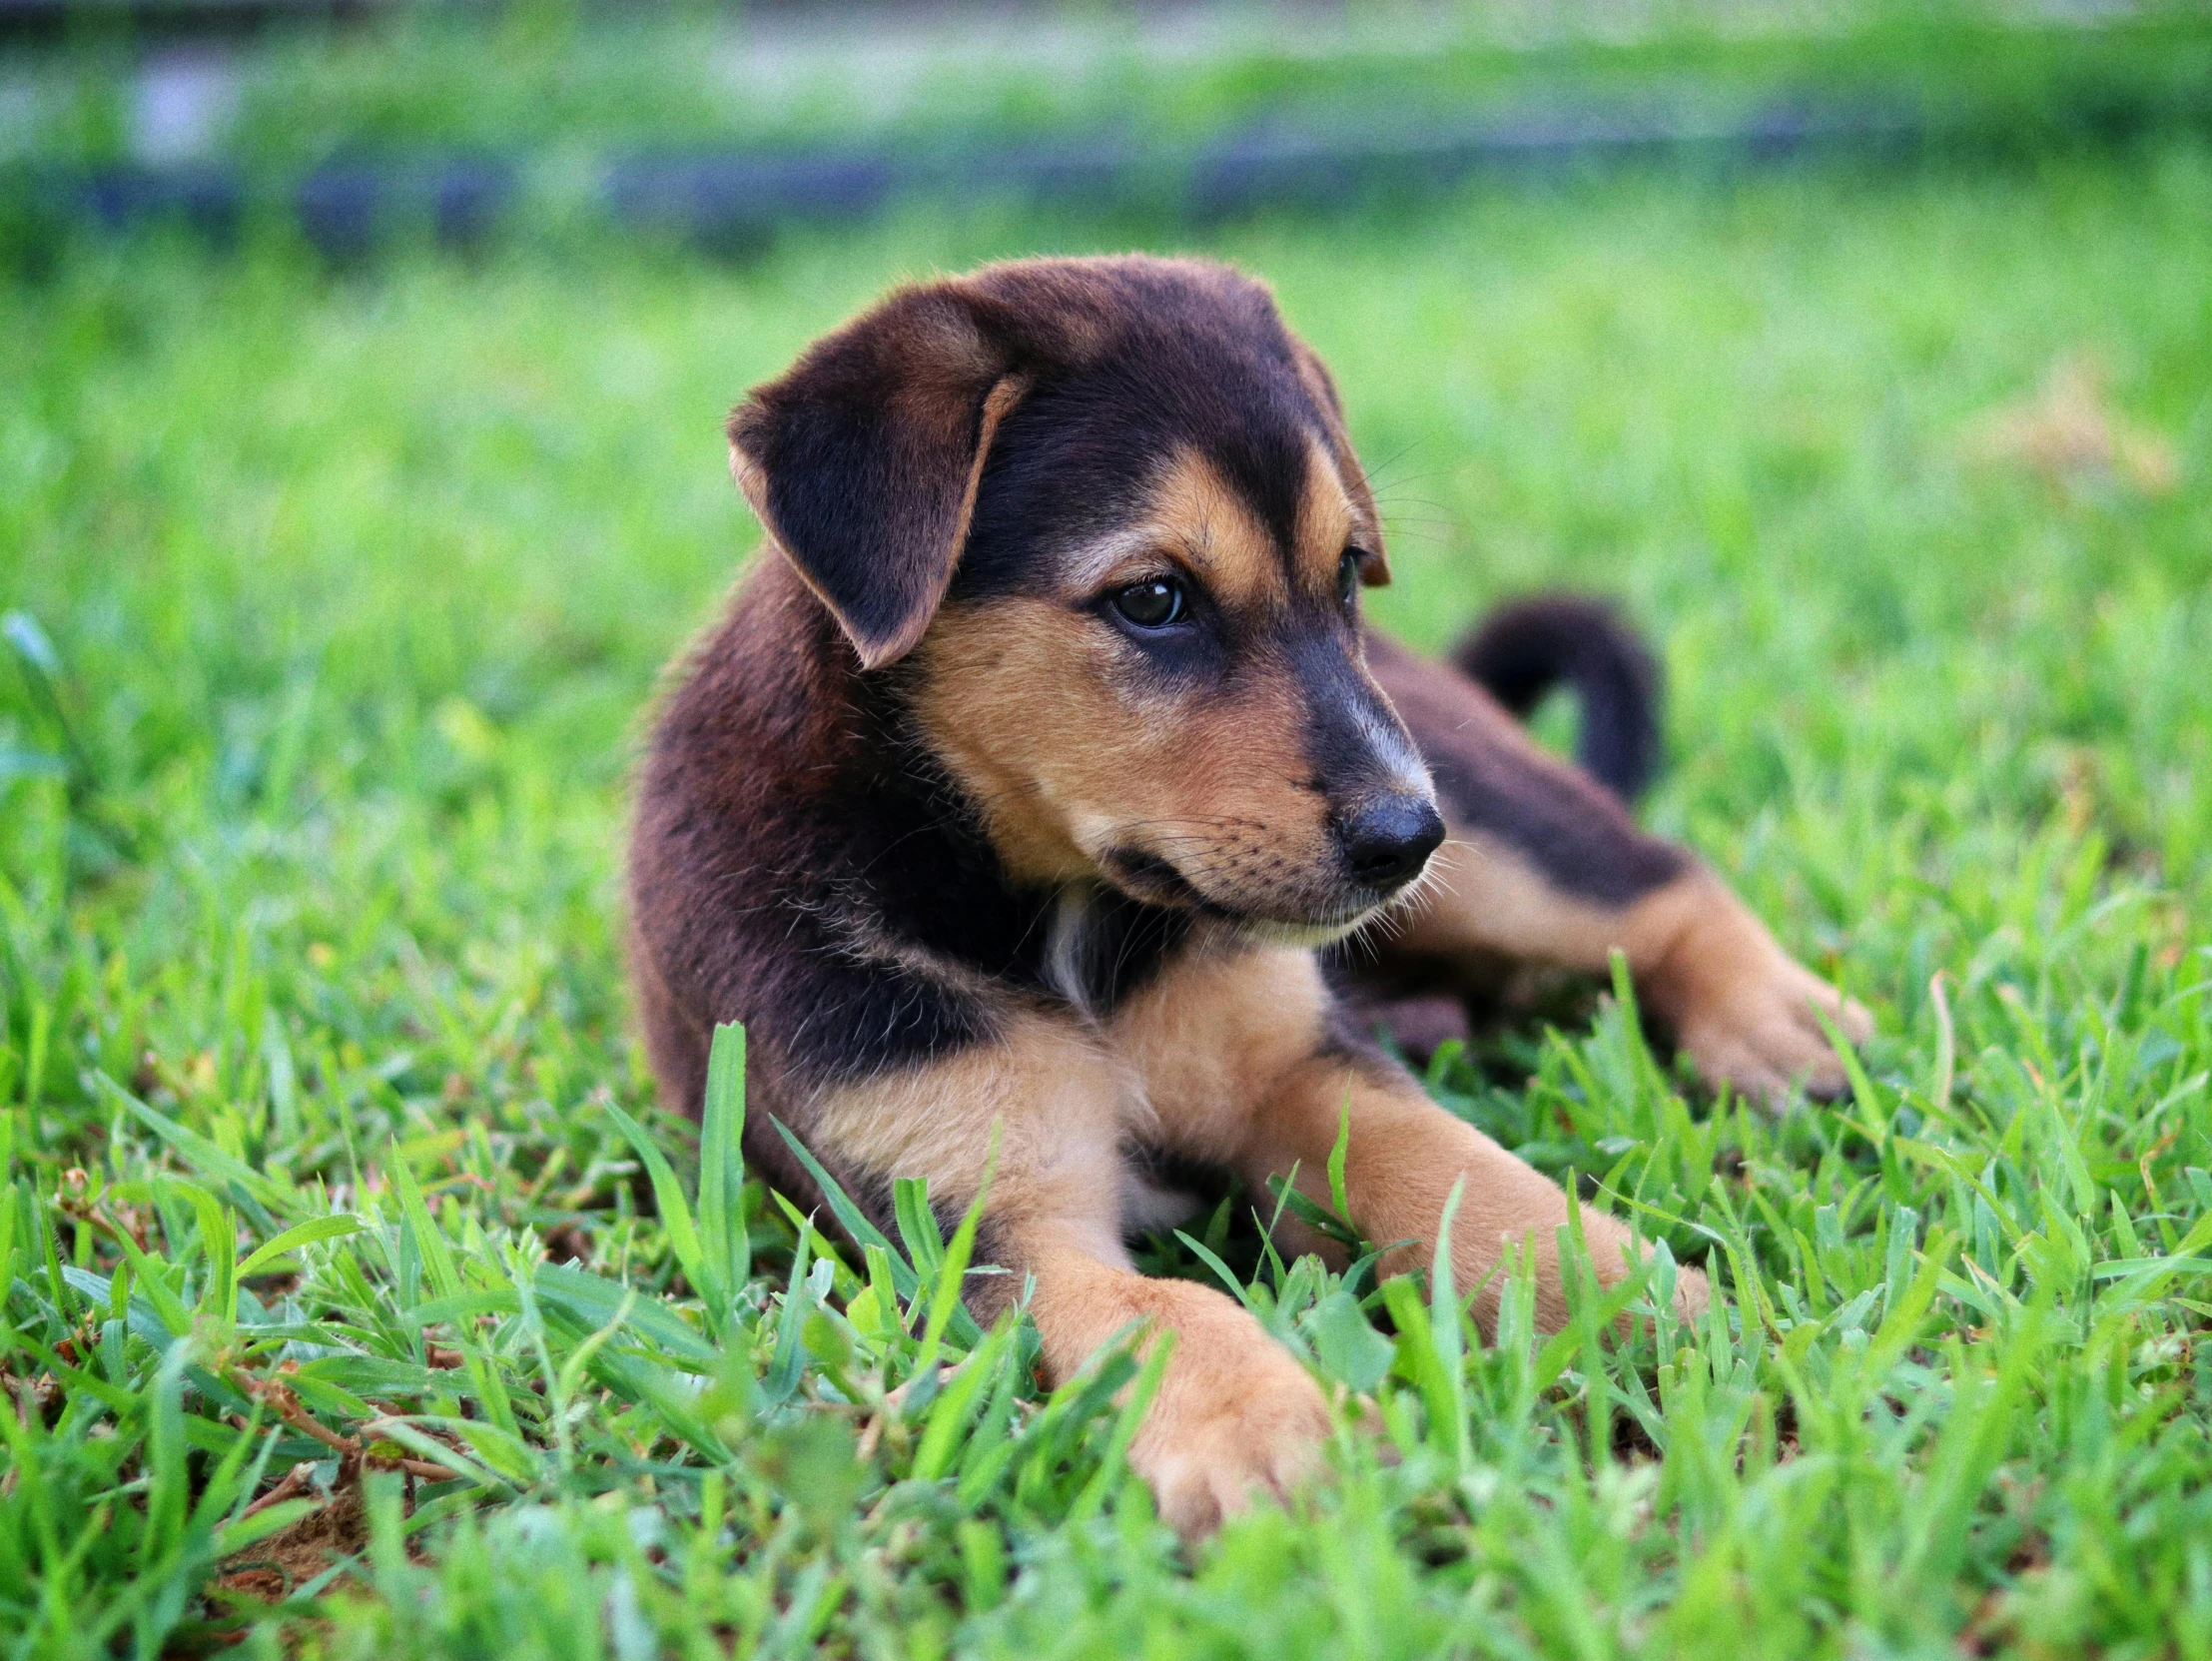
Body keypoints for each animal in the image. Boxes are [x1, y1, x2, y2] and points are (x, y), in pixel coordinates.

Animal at [628, 253, 1866, 1539]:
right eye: (1152, 598)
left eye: (1348, 573)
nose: (1409, 842)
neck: (1068, 922)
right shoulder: (975, 1216)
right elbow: (1163, 1313)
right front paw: (1268, 1428)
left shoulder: (1297, 1063)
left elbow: (1453, 1166)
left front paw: (1630, 1296)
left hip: (1483, 811)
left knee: (1654, 882)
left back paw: (1779, 1021)